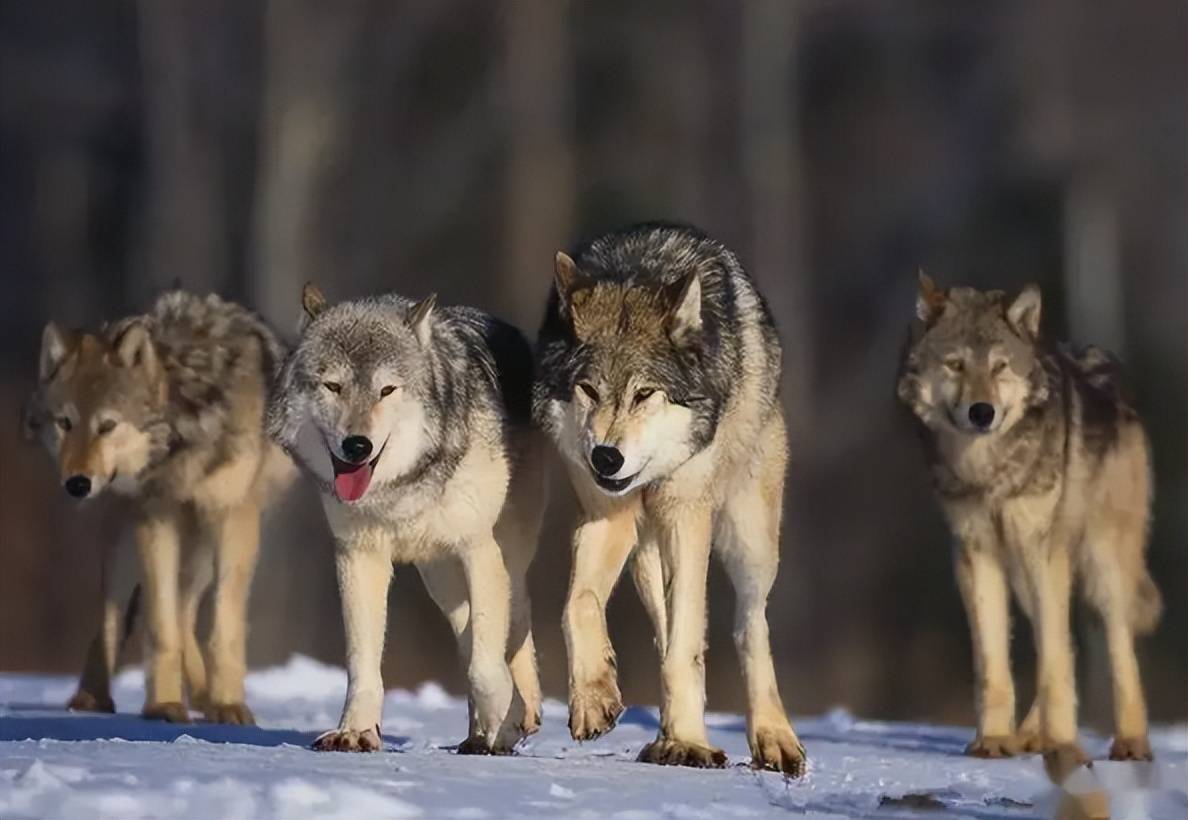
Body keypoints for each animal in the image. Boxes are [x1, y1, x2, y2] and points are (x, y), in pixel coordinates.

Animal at [24, 292, 293, 722]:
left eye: (107, 425)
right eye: (65, 423)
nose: (77, 484)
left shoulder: (234, 517)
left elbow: (223, 628)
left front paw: (227, 704)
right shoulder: (154, 518)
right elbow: (159, 626)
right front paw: (164, 705)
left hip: (201, 546)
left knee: (184, 610)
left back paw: (204, 696)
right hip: (128, 541)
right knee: (118, 616)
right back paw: (93, 698)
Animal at [267, 282, 544, 755]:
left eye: (387, 390)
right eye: (333, 386)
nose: (356, 445)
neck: (400, 490)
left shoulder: (478, 550)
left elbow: (487, 664)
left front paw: (505, 722)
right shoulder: (358, 556)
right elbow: (362, 664)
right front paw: (355, 731)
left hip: (500, 554)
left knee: (515, 619)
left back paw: (521, 714)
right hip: (440, 578)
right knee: (467, 635)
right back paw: (478, 733)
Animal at [536, 222, 807, 774]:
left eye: (645, 394)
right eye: (588, 390)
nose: (606, 458)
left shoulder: (687, 515)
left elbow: (687, 644)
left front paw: (687, 741)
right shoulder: (607, 514)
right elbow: (577, 605)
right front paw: (594, 698)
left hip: (749, 540)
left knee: (749, 625)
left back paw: (772, 738)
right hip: (645, 549)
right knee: (666, 627)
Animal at [898, 273, 1159, 760]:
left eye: (1000, 367)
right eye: (956, 365)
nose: (982, 412)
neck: (988, 471)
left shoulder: (1042, 551)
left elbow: (1055, 661)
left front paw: (1065, 748)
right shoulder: (975, 554)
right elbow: (994, 663)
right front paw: (995, 740)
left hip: (1100, 565)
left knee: (1117, 649)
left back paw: (1130, 743)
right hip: (1024, 572)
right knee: (1064, 641)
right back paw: (1031, 735)